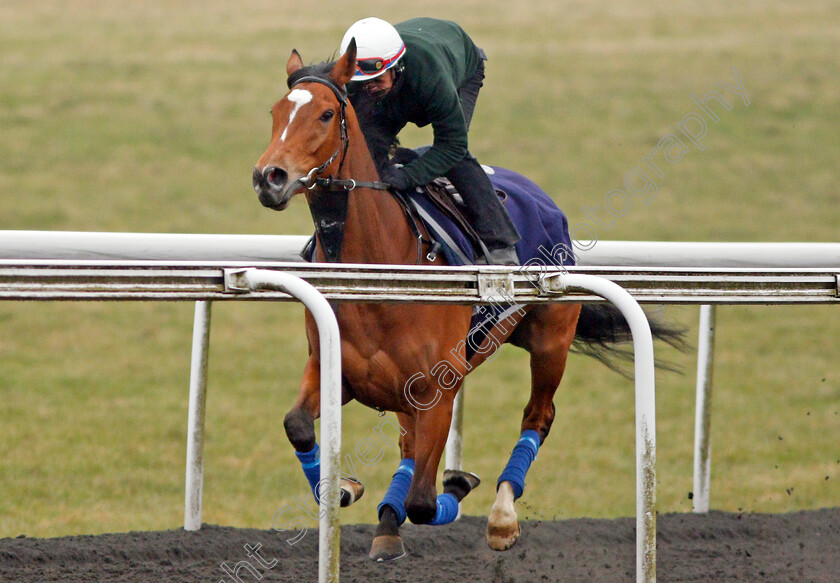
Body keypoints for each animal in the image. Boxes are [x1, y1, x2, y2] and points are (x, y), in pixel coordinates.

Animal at [251, 41, 684, 560]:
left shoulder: (438, 390)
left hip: (550, 341)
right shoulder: (336, 369)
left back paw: (501, 516)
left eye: (325, 113)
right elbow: (297, 423)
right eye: (276, 112)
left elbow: (423, 500)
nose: (269, 177)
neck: (381, 269)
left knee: (538, 415)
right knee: (408, 447)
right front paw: (344, 488)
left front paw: (455, 486)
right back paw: (388, 525)